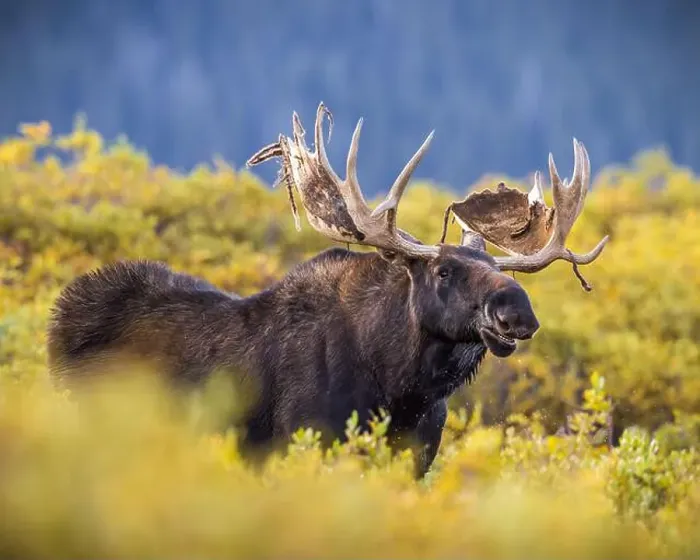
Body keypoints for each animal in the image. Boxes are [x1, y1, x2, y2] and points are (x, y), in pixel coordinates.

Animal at [47, 103, 608, 477]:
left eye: (499, 268)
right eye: (443, 271)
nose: (516, 311)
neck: (401, 387)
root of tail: (58, 324)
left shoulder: (417, 457)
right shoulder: (304, 440)